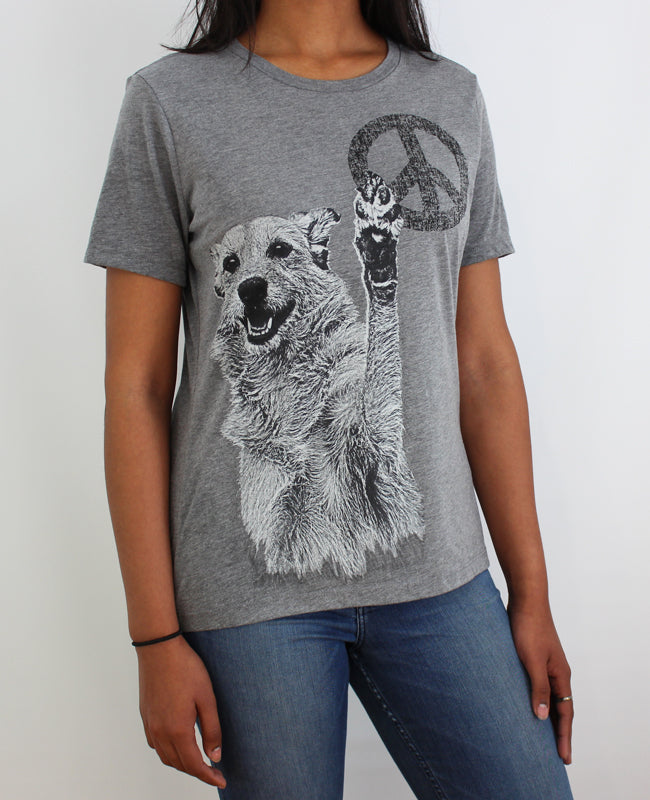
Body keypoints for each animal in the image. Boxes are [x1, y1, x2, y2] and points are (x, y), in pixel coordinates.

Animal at [208, 170, 426, 581]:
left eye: (280, 249)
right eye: (231, 263)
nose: (249, 288)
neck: (284, 371)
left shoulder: (372, 449)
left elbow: (376, 378)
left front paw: (378, 255)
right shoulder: (276, 521)